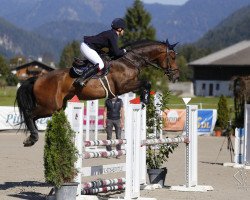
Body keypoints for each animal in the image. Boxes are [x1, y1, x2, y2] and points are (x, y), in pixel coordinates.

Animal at [15, 39, 179, 146]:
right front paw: (145, 99)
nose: (176, 76)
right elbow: (146, 82)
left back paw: (33, 136)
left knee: (34, 117)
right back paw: (32, 138)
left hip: (57, 107)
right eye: (172, 57)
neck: (130, 60)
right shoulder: (123, 86)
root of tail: (38, 78)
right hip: (50, 106)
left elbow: (146, 83)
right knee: (29, 114)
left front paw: (144, 98)